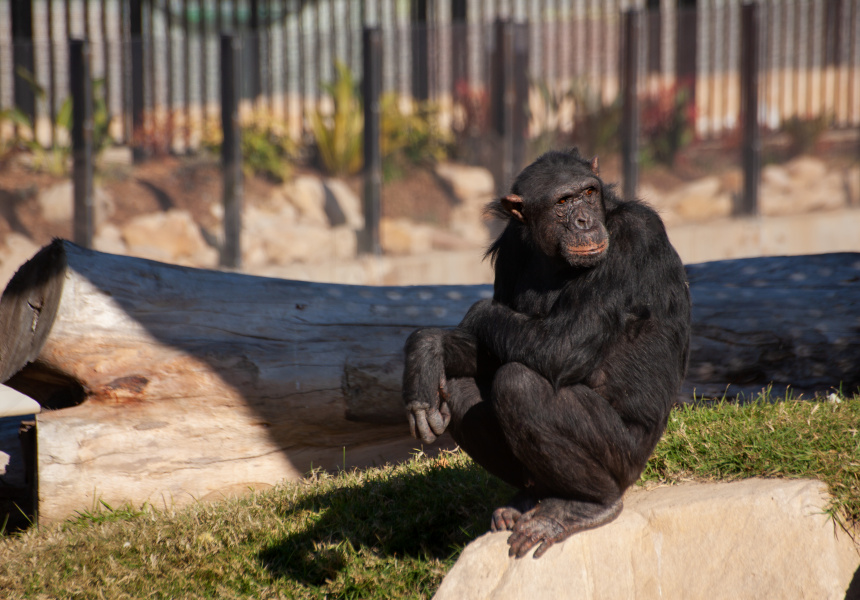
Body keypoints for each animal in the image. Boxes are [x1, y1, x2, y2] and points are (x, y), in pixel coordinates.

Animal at [404, 149, 692, 556]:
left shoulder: (634, 236)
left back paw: (585, 506)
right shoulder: (510, 247)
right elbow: (491, 350)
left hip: (626, 457)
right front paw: (427, 351)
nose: (585, 221)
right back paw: (530, 498)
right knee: (461, 387)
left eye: (588, 193)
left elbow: (563, 346)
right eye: (562, 202)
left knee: (520, 384)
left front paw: (469, 316)